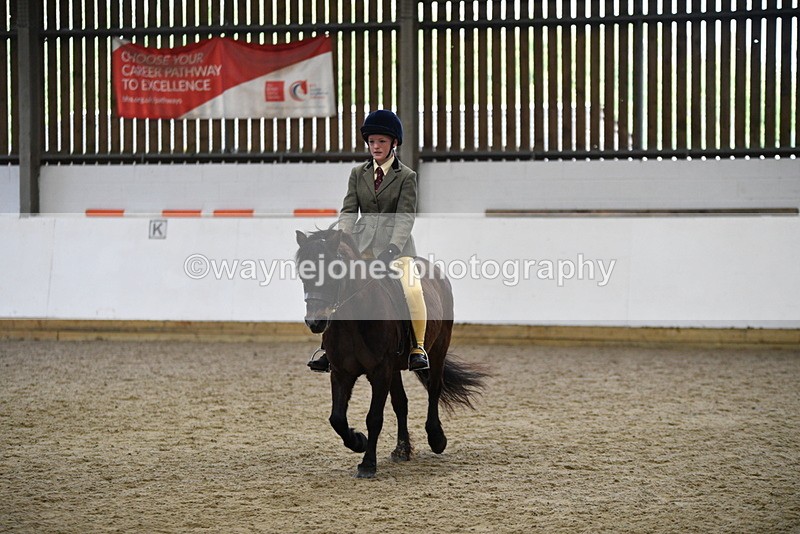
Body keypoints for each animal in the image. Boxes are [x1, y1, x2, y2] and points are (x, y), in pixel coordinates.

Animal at [295, 228, 487, 478]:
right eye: (303, 273)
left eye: (334, 271)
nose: (315, 322)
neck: (354, 318)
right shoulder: (341, 372)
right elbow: (336, 418)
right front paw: (358, 441)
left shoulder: (380, 372)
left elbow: (374, 417)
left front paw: (368, 464)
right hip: (394, 367)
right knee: (401, 403)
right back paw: (402, 450)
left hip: (438, 350)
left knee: (434, 390)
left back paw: (437, 439)